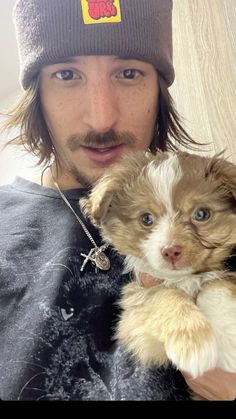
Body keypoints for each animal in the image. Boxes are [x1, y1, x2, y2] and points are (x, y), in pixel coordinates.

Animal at [80, 152, 236, 380]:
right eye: (146, 219)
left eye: (201, 215)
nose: (170, 250)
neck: (182, 279)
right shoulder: (135, 308)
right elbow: (165, 294)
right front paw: (192, 342)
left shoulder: (221, 273)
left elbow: (215, 287)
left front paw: (230, 340)